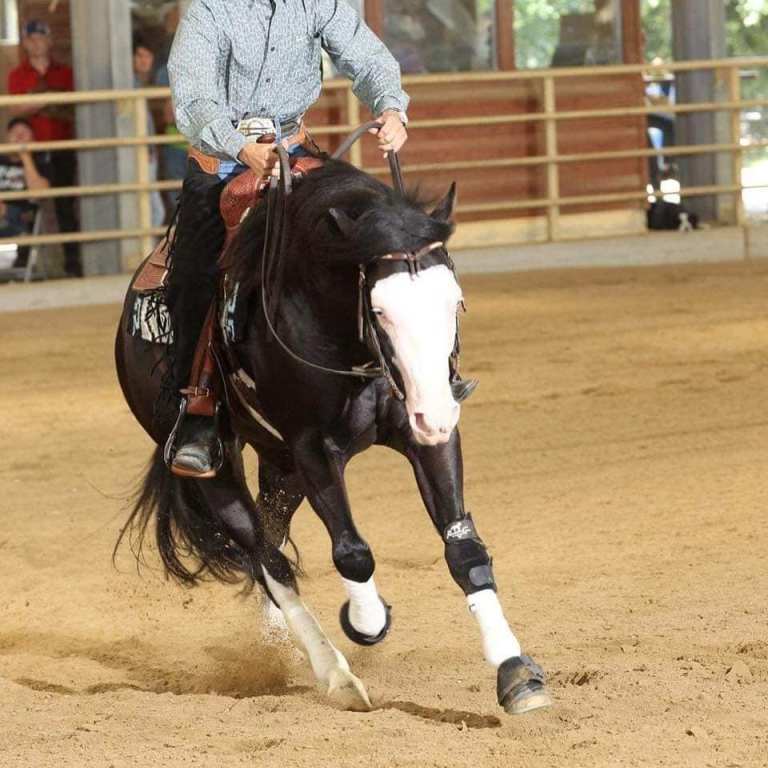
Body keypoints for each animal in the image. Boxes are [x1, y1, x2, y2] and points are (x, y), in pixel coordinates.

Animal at [114, 140, 552, 715]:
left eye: (454, 300)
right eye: (380, 309)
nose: (436, 413)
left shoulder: (423, 438)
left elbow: (465, 548)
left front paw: (516, 672)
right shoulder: (314, 449)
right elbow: (352, 552)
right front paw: (367, 621)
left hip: (281, 467)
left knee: (271, 541)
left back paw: (281, 638)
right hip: (216, 470)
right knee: (267, 558)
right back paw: (336, 674)